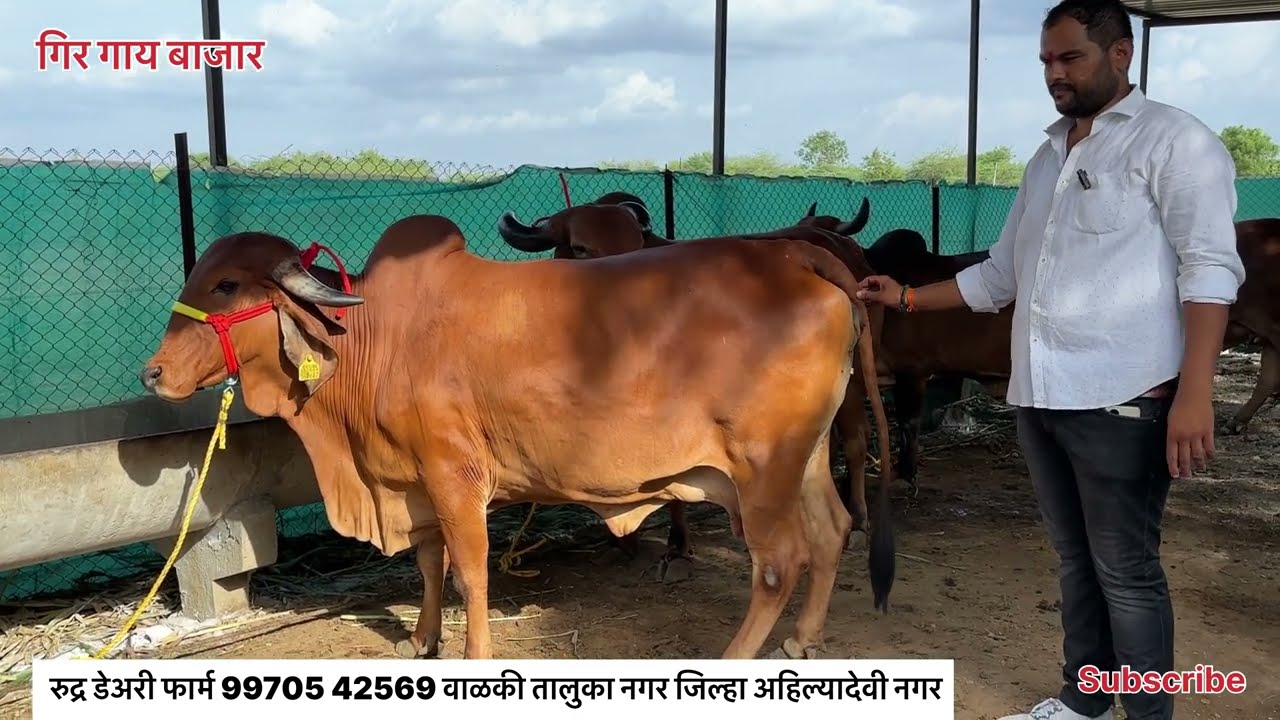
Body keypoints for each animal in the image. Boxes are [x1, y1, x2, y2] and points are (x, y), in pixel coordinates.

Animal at [497, 202, 891, 556]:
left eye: (636, 243)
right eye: (580, 247)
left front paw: (676, 542)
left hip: (853, 378)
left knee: (855, 442)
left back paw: (858, 520)